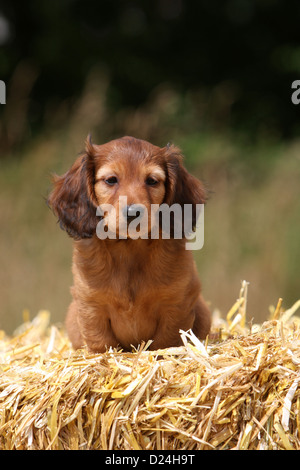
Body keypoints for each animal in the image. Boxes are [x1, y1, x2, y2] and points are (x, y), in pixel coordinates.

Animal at [47, 134, 211, 350]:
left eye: (152, 181)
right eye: (111, 180)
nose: (133, 213)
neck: (128, 250)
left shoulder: (177, 304)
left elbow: (165, 342)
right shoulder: (91, 307)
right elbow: (101, 344)